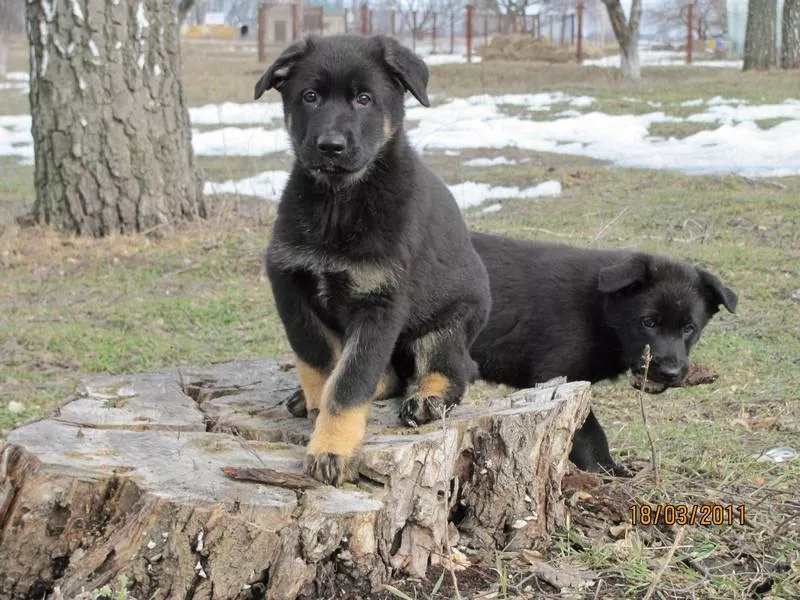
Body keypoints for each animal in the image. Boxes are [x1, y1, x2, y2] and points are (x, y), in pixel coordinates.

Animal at [258, 36, 494, 488]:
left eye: (364, 99)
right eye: (310, 96)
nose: (331, 146)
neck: (339, 202)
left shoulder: (380, 304)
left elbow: (349, 384)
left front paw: (332, 447)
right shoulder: (289, 286)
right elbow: (320, 362)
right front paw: (317, 406)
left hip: (448, 322)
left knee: (454, 369)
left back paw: (427, 399)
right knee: (387, 375)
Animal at [468, 232, 736, 476]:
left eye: (689, 328)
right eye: (648, 322)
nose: (670, 372)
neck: (601, 311)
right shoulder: (557, 376)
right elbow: (588, 431)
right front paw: (607, 469)